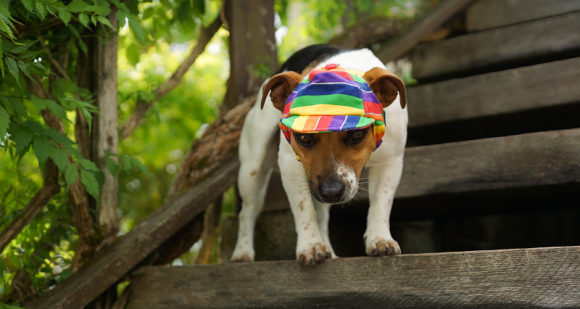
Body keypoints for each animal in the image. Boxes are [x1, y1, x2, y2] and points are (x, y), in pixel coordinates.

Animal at [229, 44, 406, 266]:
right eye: (304, 137)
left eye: (357, 133)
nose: (330, 191)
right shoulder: (289, 164)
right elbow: (304, 209)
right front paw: (311, 245)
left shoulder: (391, 162)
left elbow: (381, 203)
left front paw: (380, 238)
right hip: (253, 169)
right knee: (247, 211)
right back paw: (242, 252)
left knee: (321, 216)